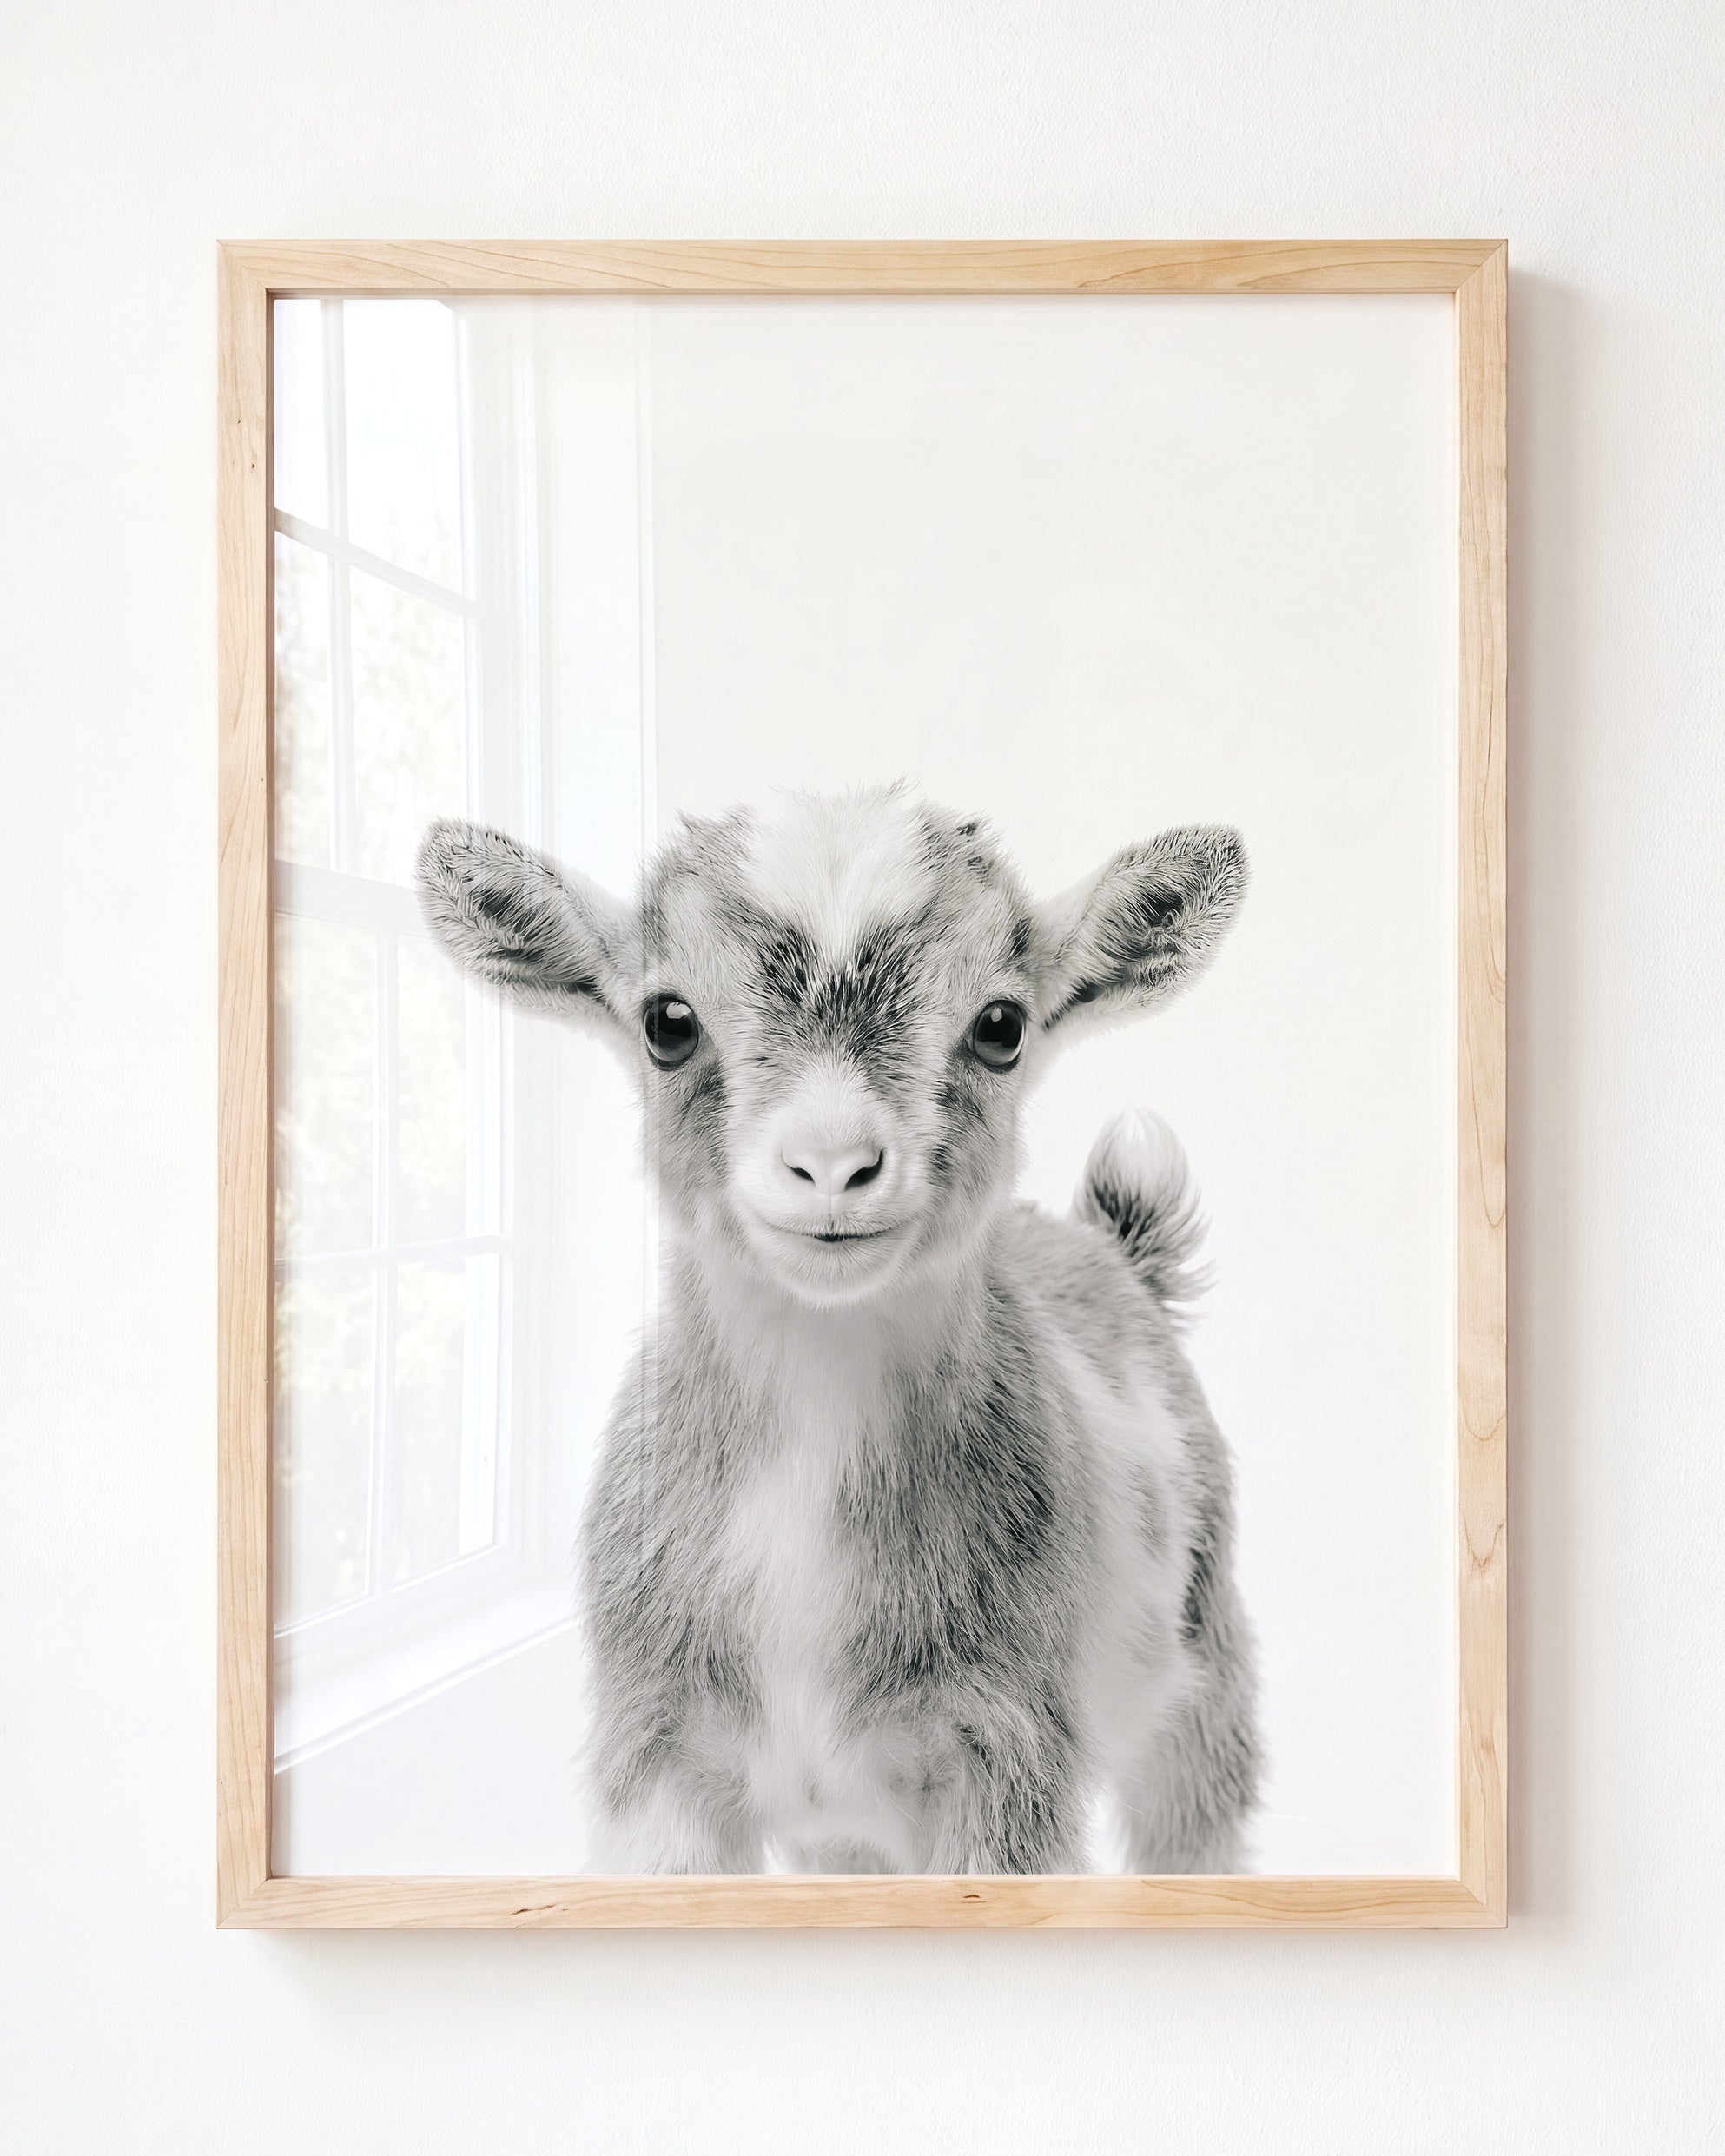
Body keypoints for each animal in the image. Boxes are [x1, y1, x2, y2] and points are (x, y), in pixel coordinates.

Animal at [417, 784, 1259, 1873]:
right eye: (667, 1021)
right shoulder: (658, 1758)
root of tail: (1115, 1252)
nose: (831, 1165)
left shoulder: (1007, 1758)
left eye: (1001, 1025)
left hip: (1205, 1673)